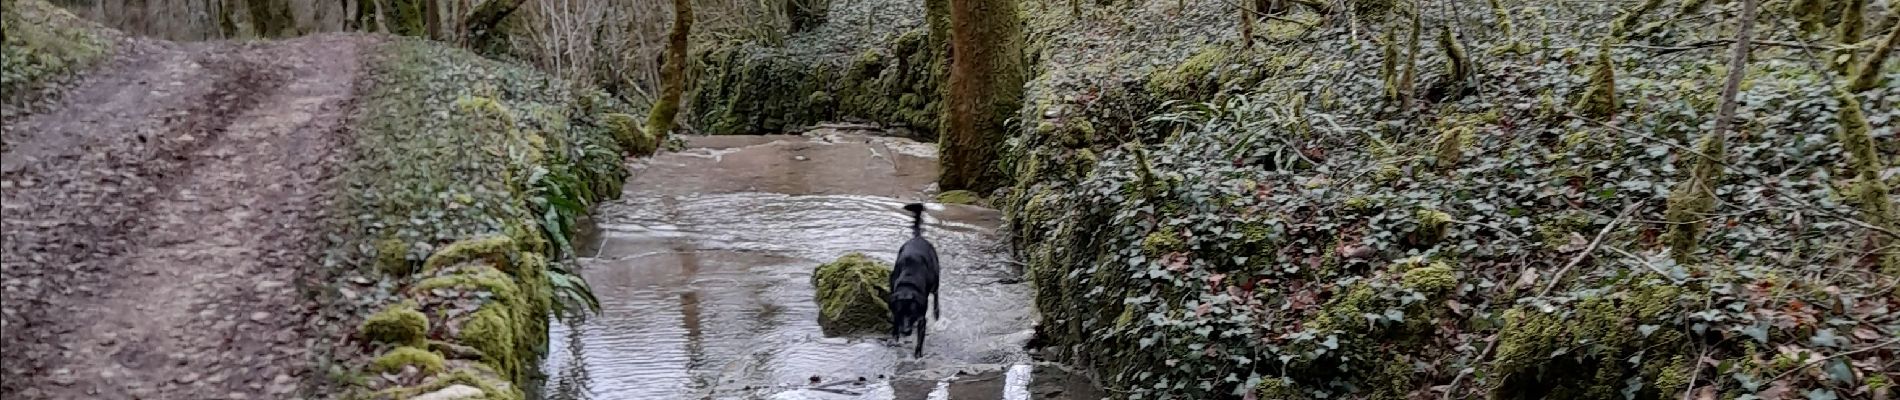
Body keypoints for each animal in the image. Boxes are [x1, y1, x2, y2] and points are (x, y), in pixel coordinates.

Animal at [893, 202, 946, 356]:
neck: (907, 284)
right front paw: (895, 338)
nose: (906, 331)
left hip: (935, 280)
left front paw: (917, 355)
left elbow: (920, 340)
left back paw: (937, 313)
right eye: (900, 312)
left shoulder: (921, 318)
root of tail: (918, 238)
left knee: (936, 295)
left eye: (912, 314)